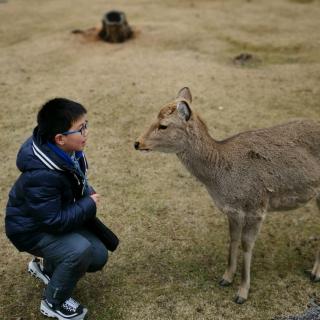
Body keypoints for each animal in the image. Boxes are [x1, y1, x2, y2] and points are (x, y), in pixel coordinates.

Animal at [134, 88, 320, 304]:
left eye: (163, 125)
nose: (137, 143)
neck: (221, 181)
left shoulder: (257, 206)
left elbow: (247, 245)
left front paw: (242, 293)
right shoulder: (232, 210)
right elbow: (233, 239)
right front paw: (226, 278)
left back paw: (315, 273)